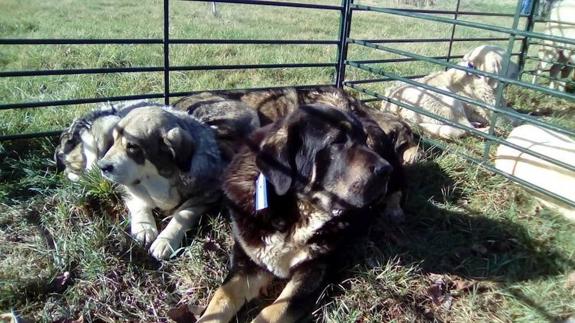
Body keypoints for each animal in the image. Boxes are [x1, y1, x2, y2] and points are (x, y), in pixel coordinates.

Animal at [198, 104, 404, 323]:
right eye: (337, 141)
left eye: (364, 140)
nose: (385, 169)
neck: (293, 209)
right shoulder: (249, 262)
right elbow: (222, 297)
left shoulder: (315, 270)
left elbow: (273, 310)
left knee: (399, 188)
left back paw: (394, 211)